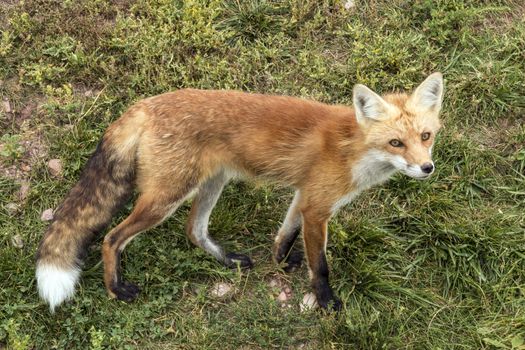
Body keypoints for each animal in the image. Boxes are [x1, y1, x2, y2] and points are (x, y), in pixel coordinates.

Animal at [34, 72, 442, 312]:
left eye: (426, 136)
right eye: (395, 143)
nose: (427, 168)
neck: (352, 149)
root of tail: (145, 104)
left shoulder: (304, 196)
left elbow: (284, 234)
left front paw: (280, 261)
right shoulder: (318, 207)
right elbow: (321, 265)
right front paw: (327, 301)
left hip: (212, 182)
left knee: (194, 230)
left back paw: (228, 260)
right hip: (167, 196)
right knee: (112, 238)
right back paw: (116, 289)